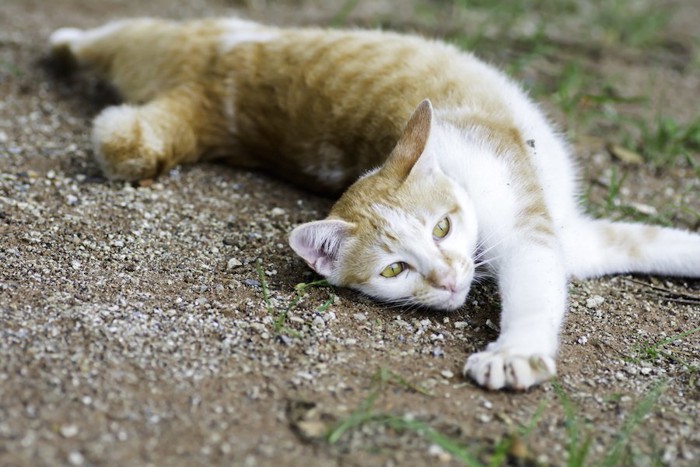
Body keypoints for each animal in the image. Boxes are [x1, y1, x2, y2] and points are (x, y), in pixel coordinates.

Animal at [49, 18, 700, 392]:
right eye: (394, 270)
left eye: (442, 227)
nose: (447, 278)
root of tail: (210, 98)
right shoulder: (552, 239)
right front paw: (516, 353)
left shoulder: (558, 235)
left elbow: (639, 250)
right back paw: (63, 40)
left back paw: (63, 41)